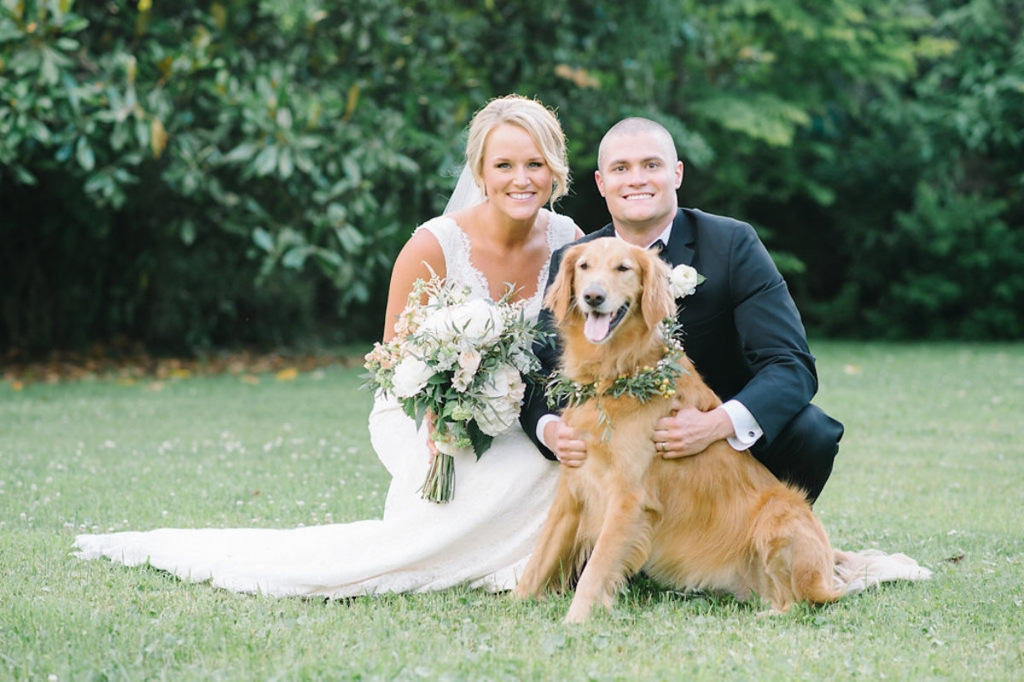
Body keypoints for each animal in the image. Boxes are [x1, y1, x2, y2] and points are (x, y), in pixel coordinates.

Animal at [516, 238, 843, 622]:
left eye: (623, 268)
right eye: (584, 266)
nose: (593, 296)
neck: (617, 373)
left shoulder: (627, 497)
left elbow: (595, 570)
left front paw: (576, 620)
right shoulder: (574, 485)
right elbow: (539, 558)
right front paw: (515, 605)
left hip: (780, 517)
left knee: (803, 603)